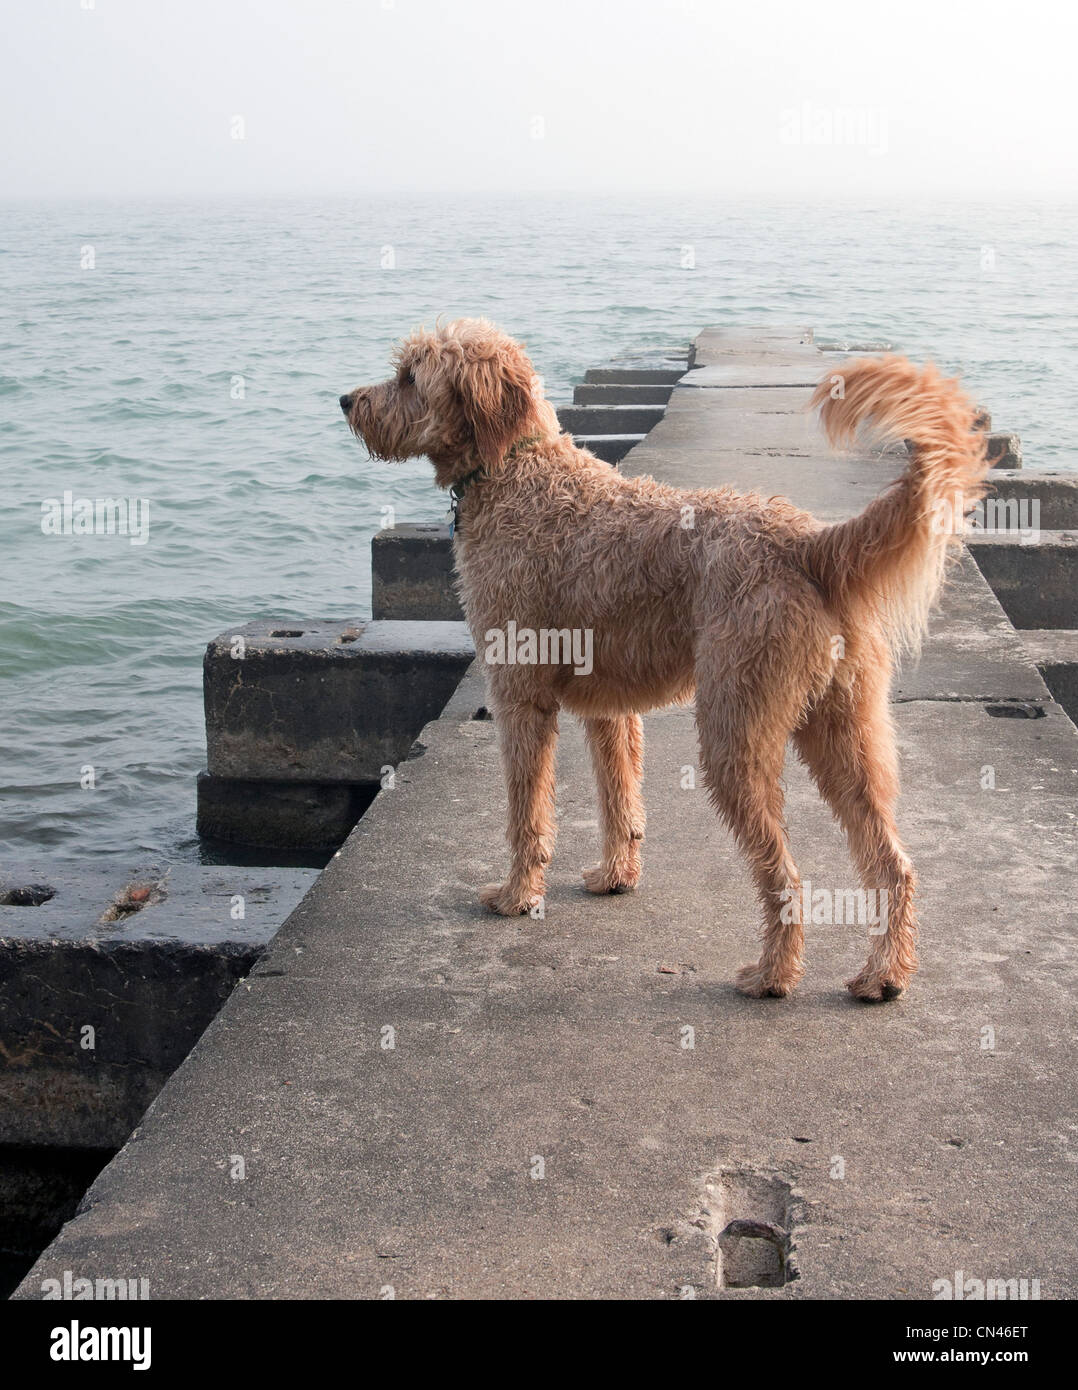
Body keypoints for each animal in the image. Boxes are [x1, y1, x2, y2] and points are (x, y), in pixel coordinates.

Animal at [341, 319, 989, 1000]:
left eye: (410, 376)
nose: (346, 401)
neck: (518, 470)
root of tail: (807, 544)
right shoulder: (608, 710)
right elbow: (619, 799)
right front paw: (615, 875)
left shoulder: (519, 698)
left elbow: (528, 812)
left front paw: (518, 895)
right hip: (846, 732)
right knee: (893, 862)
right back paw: (883, 973)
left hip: (736, 735)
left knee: (787, 875)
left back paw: (773, 974)